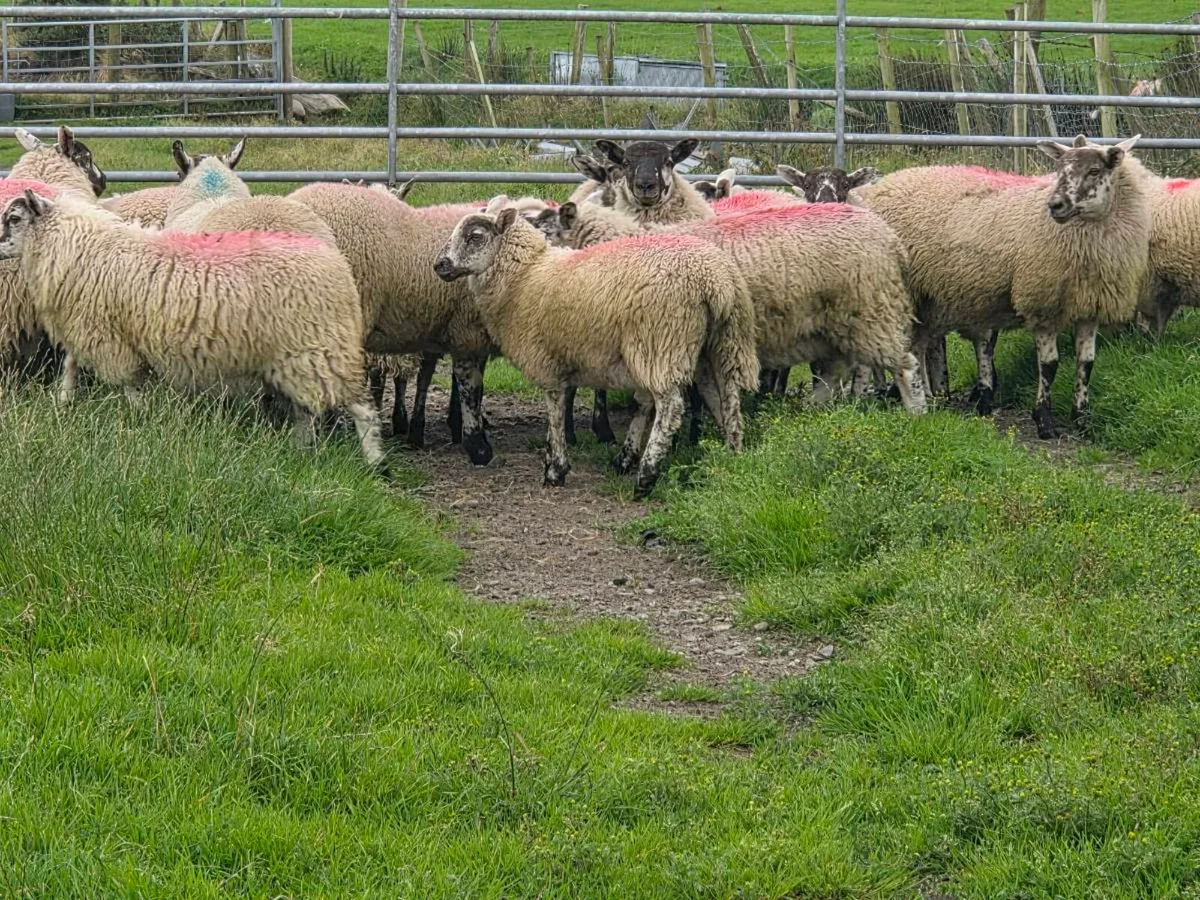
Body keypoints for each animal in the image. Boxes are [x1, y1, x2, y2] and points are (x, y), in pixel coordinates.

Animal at [0, 188, 386, 469]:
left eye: (14, 218)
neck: (79, 245)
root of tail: (337, 265)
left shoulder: (106, 333)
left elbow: (127, 381)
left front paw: (139, 415)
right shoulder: (91, 326)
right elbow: (72, 361)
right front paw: (64, 400)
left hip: (320, 347)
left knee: (361, 406)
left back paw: (375, 463)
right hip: (294, 355)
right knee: (305, 408)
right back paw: (299, 447)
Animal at [433, 207, 759, 496]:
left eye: (475, 237)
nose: (440, 265)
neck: (524, 277)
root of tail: (714, 281)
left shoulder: (545, 359)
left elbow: (554, 409)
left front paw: (555, 469)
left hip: (661, 343)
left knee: (671, 406)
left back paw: (646, 477)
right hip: (723, 343)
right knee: (727, 399)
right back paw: (732, 456)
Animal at [536, 199, 927, 418]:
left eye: (544, 231)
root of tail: (892, 240)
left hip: (872, 310)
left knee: (905, 365)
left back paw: (917, 413)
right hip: (829, 323)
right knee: (834, 373)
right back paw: (810, 411)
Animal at [856, 135, 1152, 437]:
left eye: (1094, 171)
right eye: (1059, 170)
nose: (1055, 205)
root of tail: (883, 184)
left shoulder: (1088, 305)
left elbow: (1086, 363)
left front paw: (1081, 418)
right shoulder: (1041, 302)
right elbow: (1049, 365)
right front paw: (1044, 421)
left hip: (926, 300)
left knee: (919, 346)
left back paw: (929, 396)